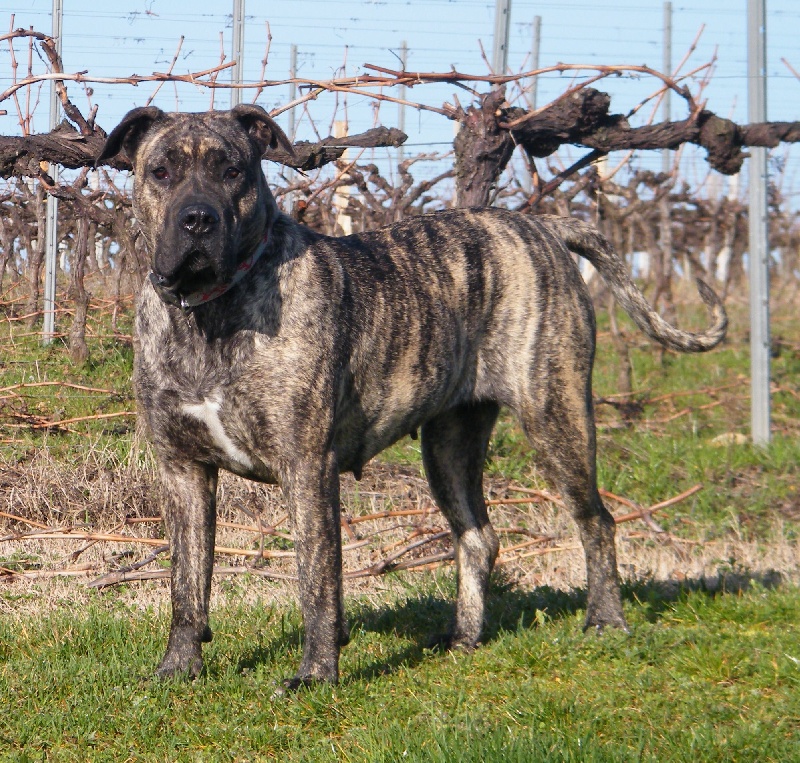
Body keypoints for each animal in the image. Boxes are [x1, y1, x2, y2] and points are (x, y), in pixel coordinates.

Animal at [97, 106, 728, 692]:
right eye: (159, 171)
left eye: (233, 171)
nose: (197, 219)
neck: (209, 315)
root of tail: (543, 226)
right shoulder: (183, 471)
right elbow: (187, 584)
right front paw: (178, 668)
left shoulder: (307, 468)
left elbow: (316, 581)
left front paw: (316, 674)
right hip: (449, 445)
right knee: (477, 537)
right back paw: (463, 638)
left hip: (557, 417)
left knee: (596, 520)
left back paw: (605, 621)